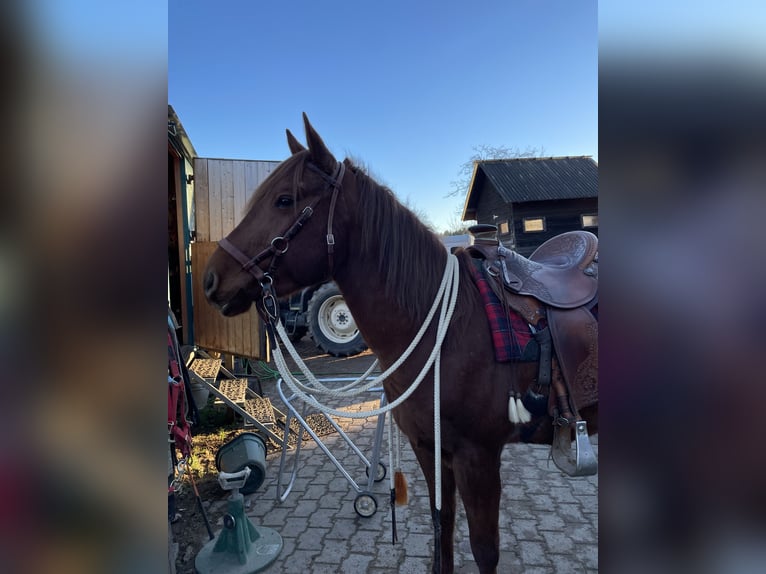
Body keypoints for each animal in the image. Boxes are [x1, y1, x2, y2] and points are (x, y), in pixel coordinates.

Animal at [204, 113, 600, 574]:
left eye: (284, 200)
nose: (212, 279)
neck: (446, 327)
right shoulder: (430, 448)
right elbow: (441, 527)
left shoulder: (478, 456)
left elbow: (483, 549)